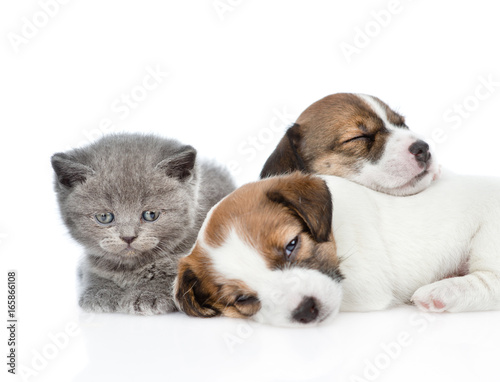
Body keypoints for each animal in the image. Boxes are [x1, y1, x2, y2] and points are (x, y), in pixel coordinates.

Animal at [51, 133, 235, 314]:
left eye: (151, 214)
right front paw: (100, 290)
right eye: (104, 217)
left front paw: (148, 293)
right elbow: (93, 271)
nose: (128, 237)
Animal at [173, 172, 500, 326]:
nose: (306, 310)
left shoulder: (367, 283)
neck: (336, 231)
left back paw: (442, 293)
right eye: (242, 298)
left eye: (292, 245)